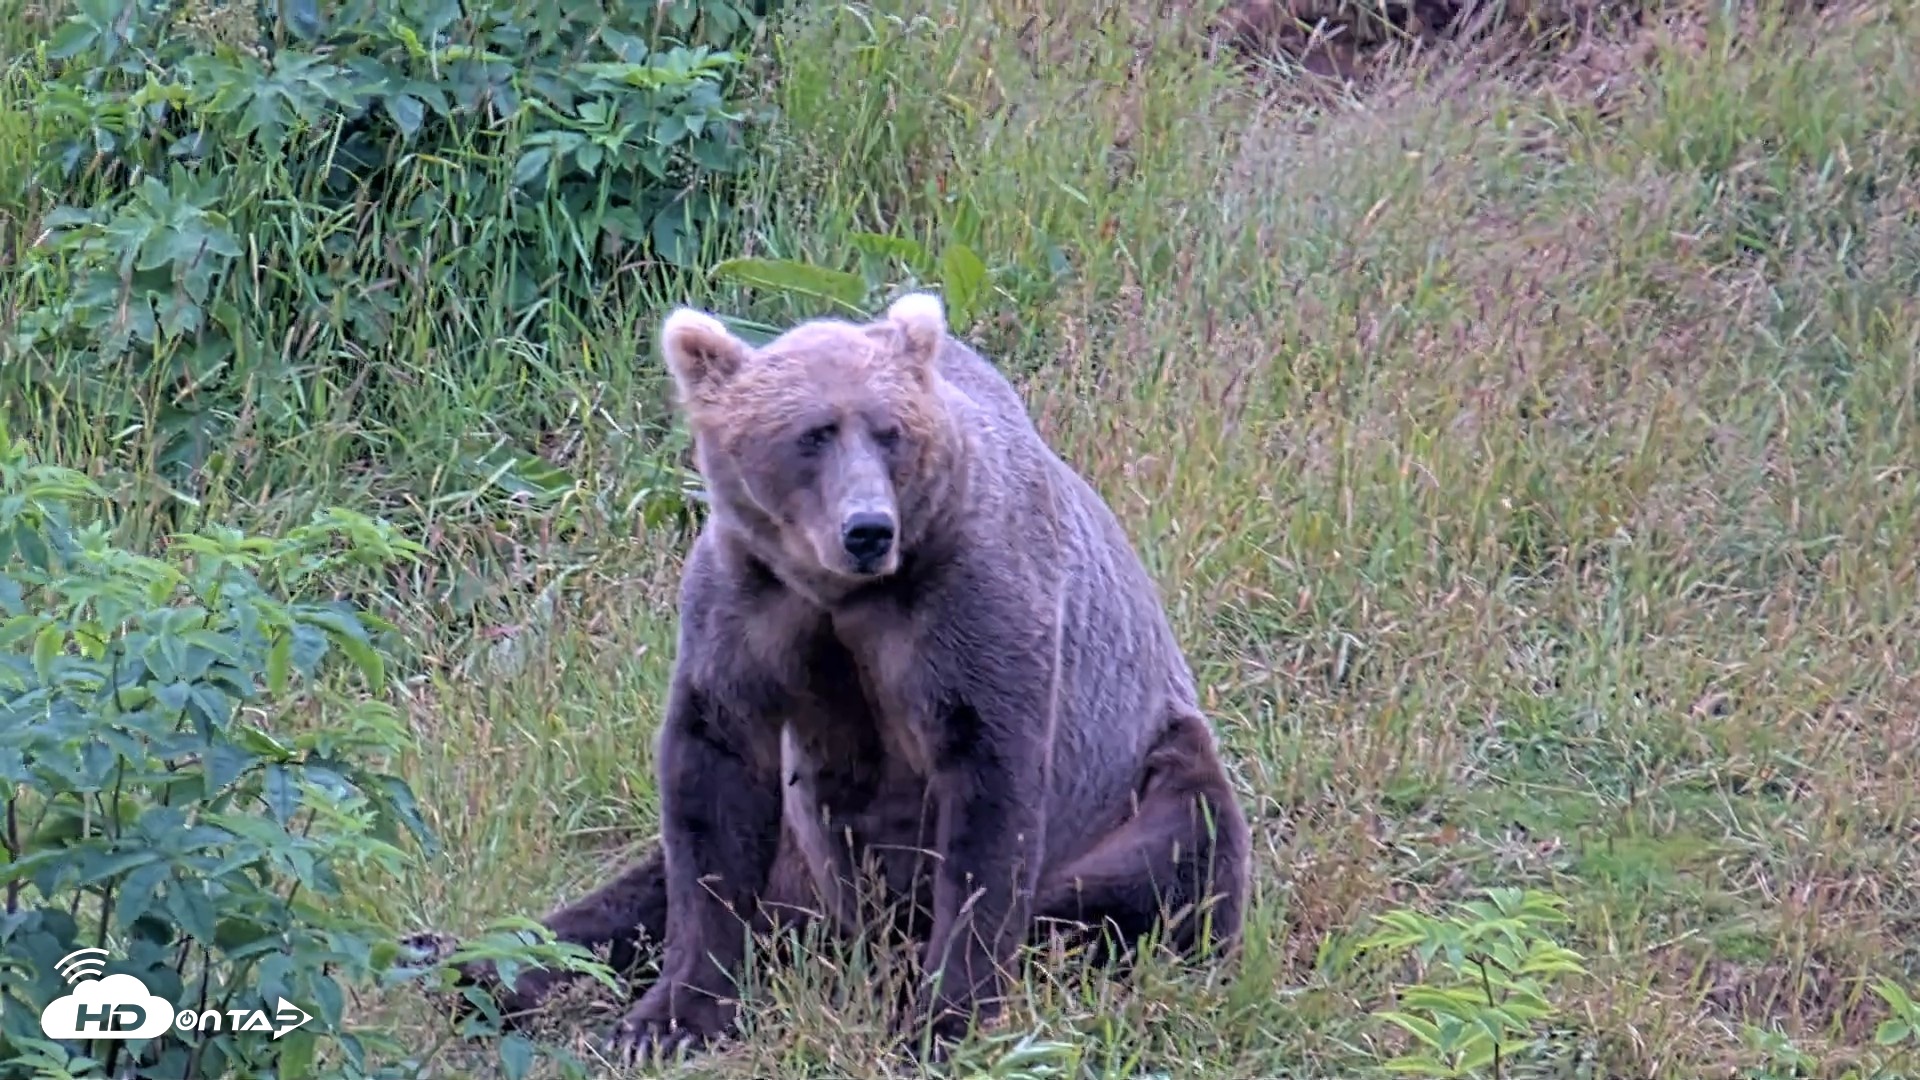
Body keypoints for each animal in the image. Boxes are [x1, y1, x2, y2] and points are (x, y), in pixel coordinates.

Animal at [406, 292, 1252, 1065]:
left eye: (889, 431)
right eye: (811, 435)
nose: (867, 529)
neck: (842, 592)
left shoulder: (972, 605)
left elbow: (988, 802)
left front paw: (939, 1022)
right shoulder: (746, 606)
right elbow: (710, 794)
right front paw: (669, 1017)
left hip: (1143, 776)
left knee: (1171, 858)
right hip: (795, 859)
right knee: (632, 895)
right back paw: (472, 963)